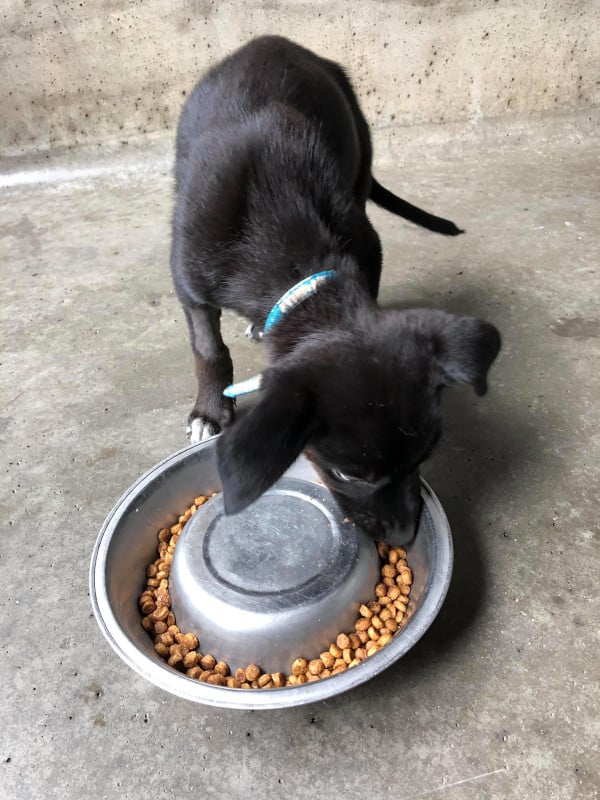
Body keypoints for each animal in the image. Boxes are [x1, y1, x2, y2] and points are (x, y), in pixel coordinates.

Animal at [170, 34, 502, 540]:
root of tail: (272, 40)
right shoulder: (188, 282)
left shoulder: (366, 248)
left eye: (425, 456)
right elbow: (209, 349)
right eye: (348, 473)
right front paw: (209, 411)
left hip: (360, 154)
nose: (404, 537)